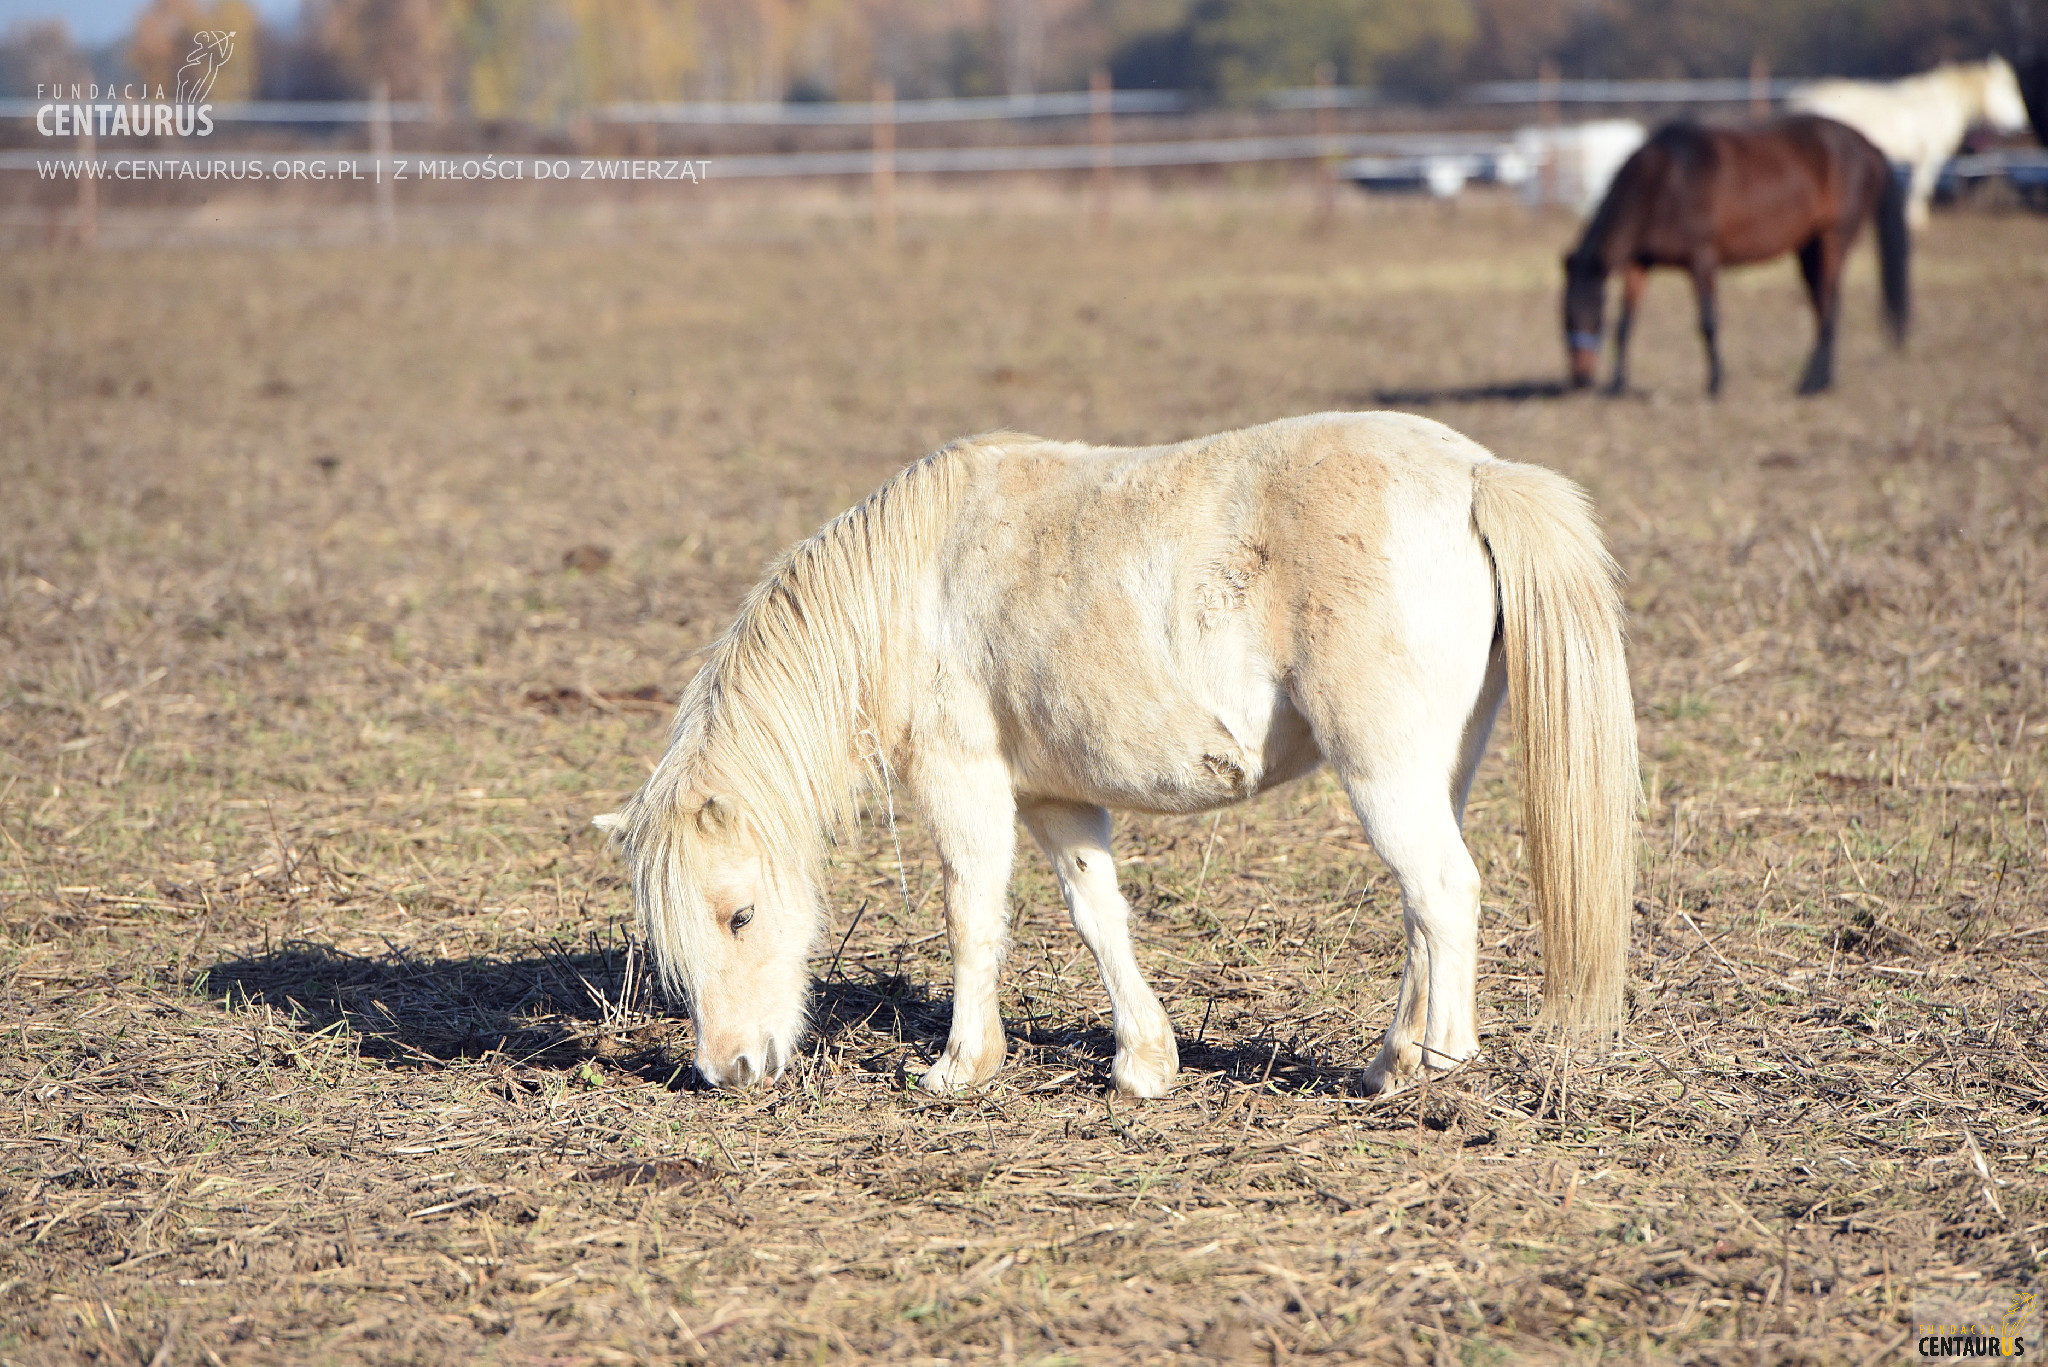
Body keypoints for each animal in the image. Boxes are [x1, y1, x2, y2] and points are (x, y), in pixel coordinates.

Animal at [593, 411, 1630, 1098]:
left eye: (738, 914)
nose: (727, 1068)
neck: (913, 586)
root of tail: (1477, 475)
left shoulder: (963, 780)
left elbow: (971, 916)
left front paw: (959, 1066)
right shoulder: (1054, 798)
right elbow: (1099, 917)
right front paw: (1144, 1062)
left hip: (1383, 772)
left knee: (1443, 891)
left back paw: (1438, 1062)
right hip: (1436, 770)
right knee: (1425, 904)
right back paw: (1389, 1059)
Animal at [1564, 115, 1900, 397]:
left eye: (1594, 315)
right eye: (1565, 317)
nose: (1580, 379)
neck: (1665, 182)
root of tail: (1869, 146)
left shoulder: (1702, 260)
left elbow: (1708, 322)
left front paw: (1715, 383)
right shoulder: (1639, 264)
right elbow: (1625, 324)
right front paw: (1616, 385)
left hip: (1833, 239)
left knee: (1830, 307)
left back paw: (1810, 384)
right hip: (1809, 249)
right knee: (1823, 306)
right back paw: (1820, 380)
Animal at [1794, 56, 2031, 229]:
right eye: (2009, 92)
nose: (2022, 124)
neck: (1941, 103)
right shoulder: (1929, 157)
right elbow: (1921, 186)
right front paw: (1916, 220)